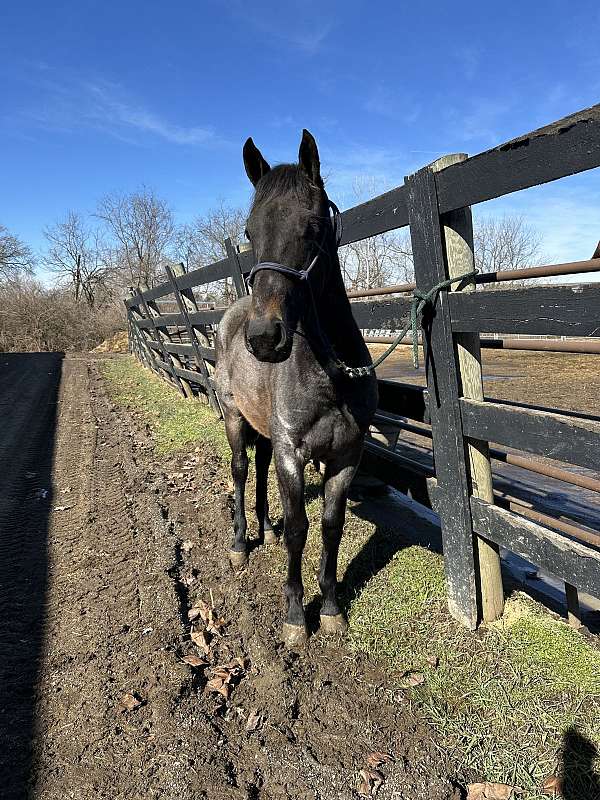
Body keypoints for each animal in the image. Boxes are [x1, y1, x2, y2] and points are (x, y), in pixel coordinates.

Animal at [213, 128, 378, 648]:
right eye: (249, 231)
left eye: (312, 225)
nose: (266, 337)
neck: (330, 375)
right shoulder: (293, 452)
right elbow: (300, 531)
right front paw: (293, 617)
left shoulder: (346, 455)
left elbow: (330, 526)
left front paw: (330, 608)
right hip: (235, 419)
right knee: (242, 470)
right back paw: (241, 542)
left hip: (265, 431)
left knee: (261, 471)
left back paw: (266, 524)